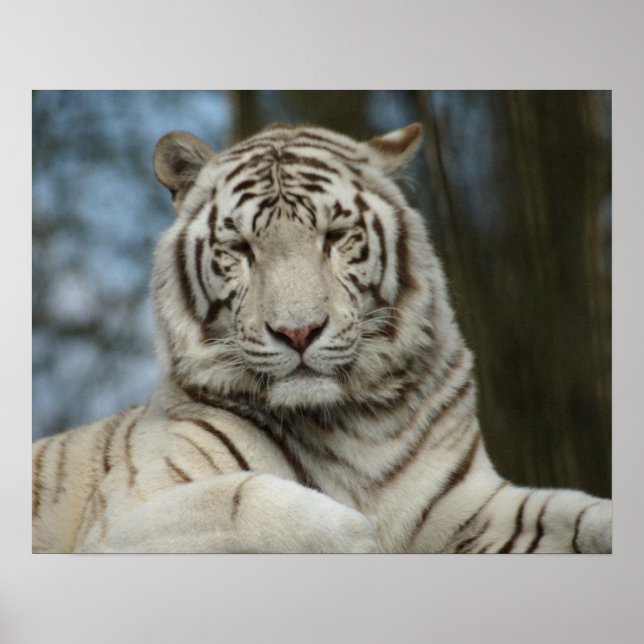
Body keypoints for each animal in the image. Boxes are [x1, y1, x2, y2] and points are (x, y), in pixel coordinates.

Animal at [32, 121, 612, 553]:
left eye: (335, 236)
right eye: (240, 248)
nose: (298, 331)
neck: (356, 422)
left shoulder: (472, 507)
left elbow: (577, 516)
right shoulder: (123, 516)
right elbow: (247, 501)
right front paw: (365, 538)